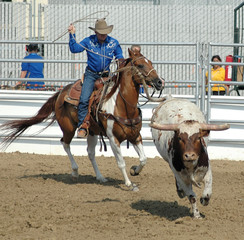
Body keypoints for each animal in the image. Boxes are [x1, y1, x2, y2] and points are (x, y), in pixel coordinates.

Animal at [0, 48, 164, 191]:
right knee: (65, 144)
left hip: (92, 132)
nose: (160, 82)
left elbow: (144, 159)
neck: (122, 106)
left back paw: (100, 177)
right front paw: (129, 183)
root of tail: (61, 92)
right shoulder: (113, 139)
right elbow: (121, 162)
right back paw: (75, 171)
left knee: (90, 153)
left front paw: (134, 170)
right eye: (140, 65)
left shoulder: (135, 136)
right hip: (68, 128)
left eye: (150, 62)